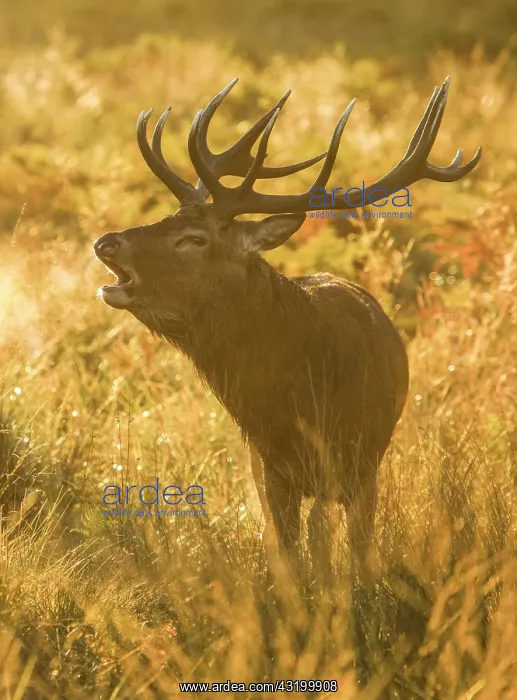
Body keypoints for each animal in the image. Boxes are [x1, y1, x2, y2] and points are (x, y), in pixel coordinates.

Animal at [93, 77, 481, 578]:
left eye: (194, 239)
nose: (107, 242)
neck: (305, 403)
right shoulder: (270, 468)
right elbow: (293, 557)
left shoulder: (361, 465)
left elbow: (349, 556)